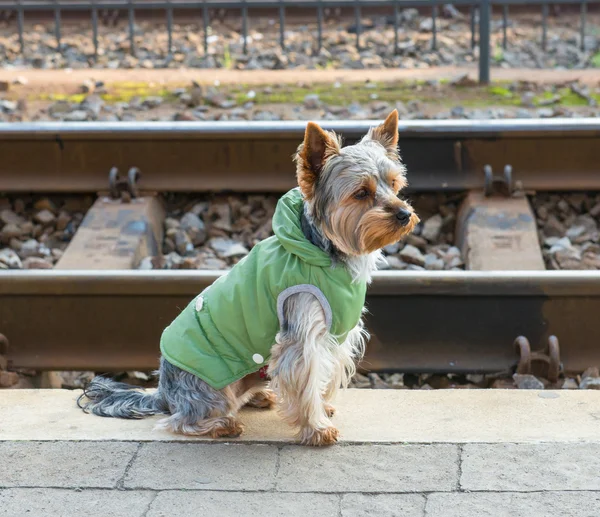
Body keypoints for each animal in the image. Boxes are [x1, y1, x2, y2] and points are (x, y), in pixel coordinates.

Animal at [78, 110, 418, 448]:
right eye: (361, 193)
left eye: (394, 184)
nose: (404, 214)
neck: (326, 249)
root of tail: (163, 393)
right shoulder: (302, 332)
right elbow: (307, 377)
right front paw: (317, 428)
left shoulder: (339, 332)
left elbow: (327, 373)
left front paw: (322, 408)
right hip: (207, 387)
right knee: (181, 421)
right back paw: (221, 425)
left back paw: (259, 397)